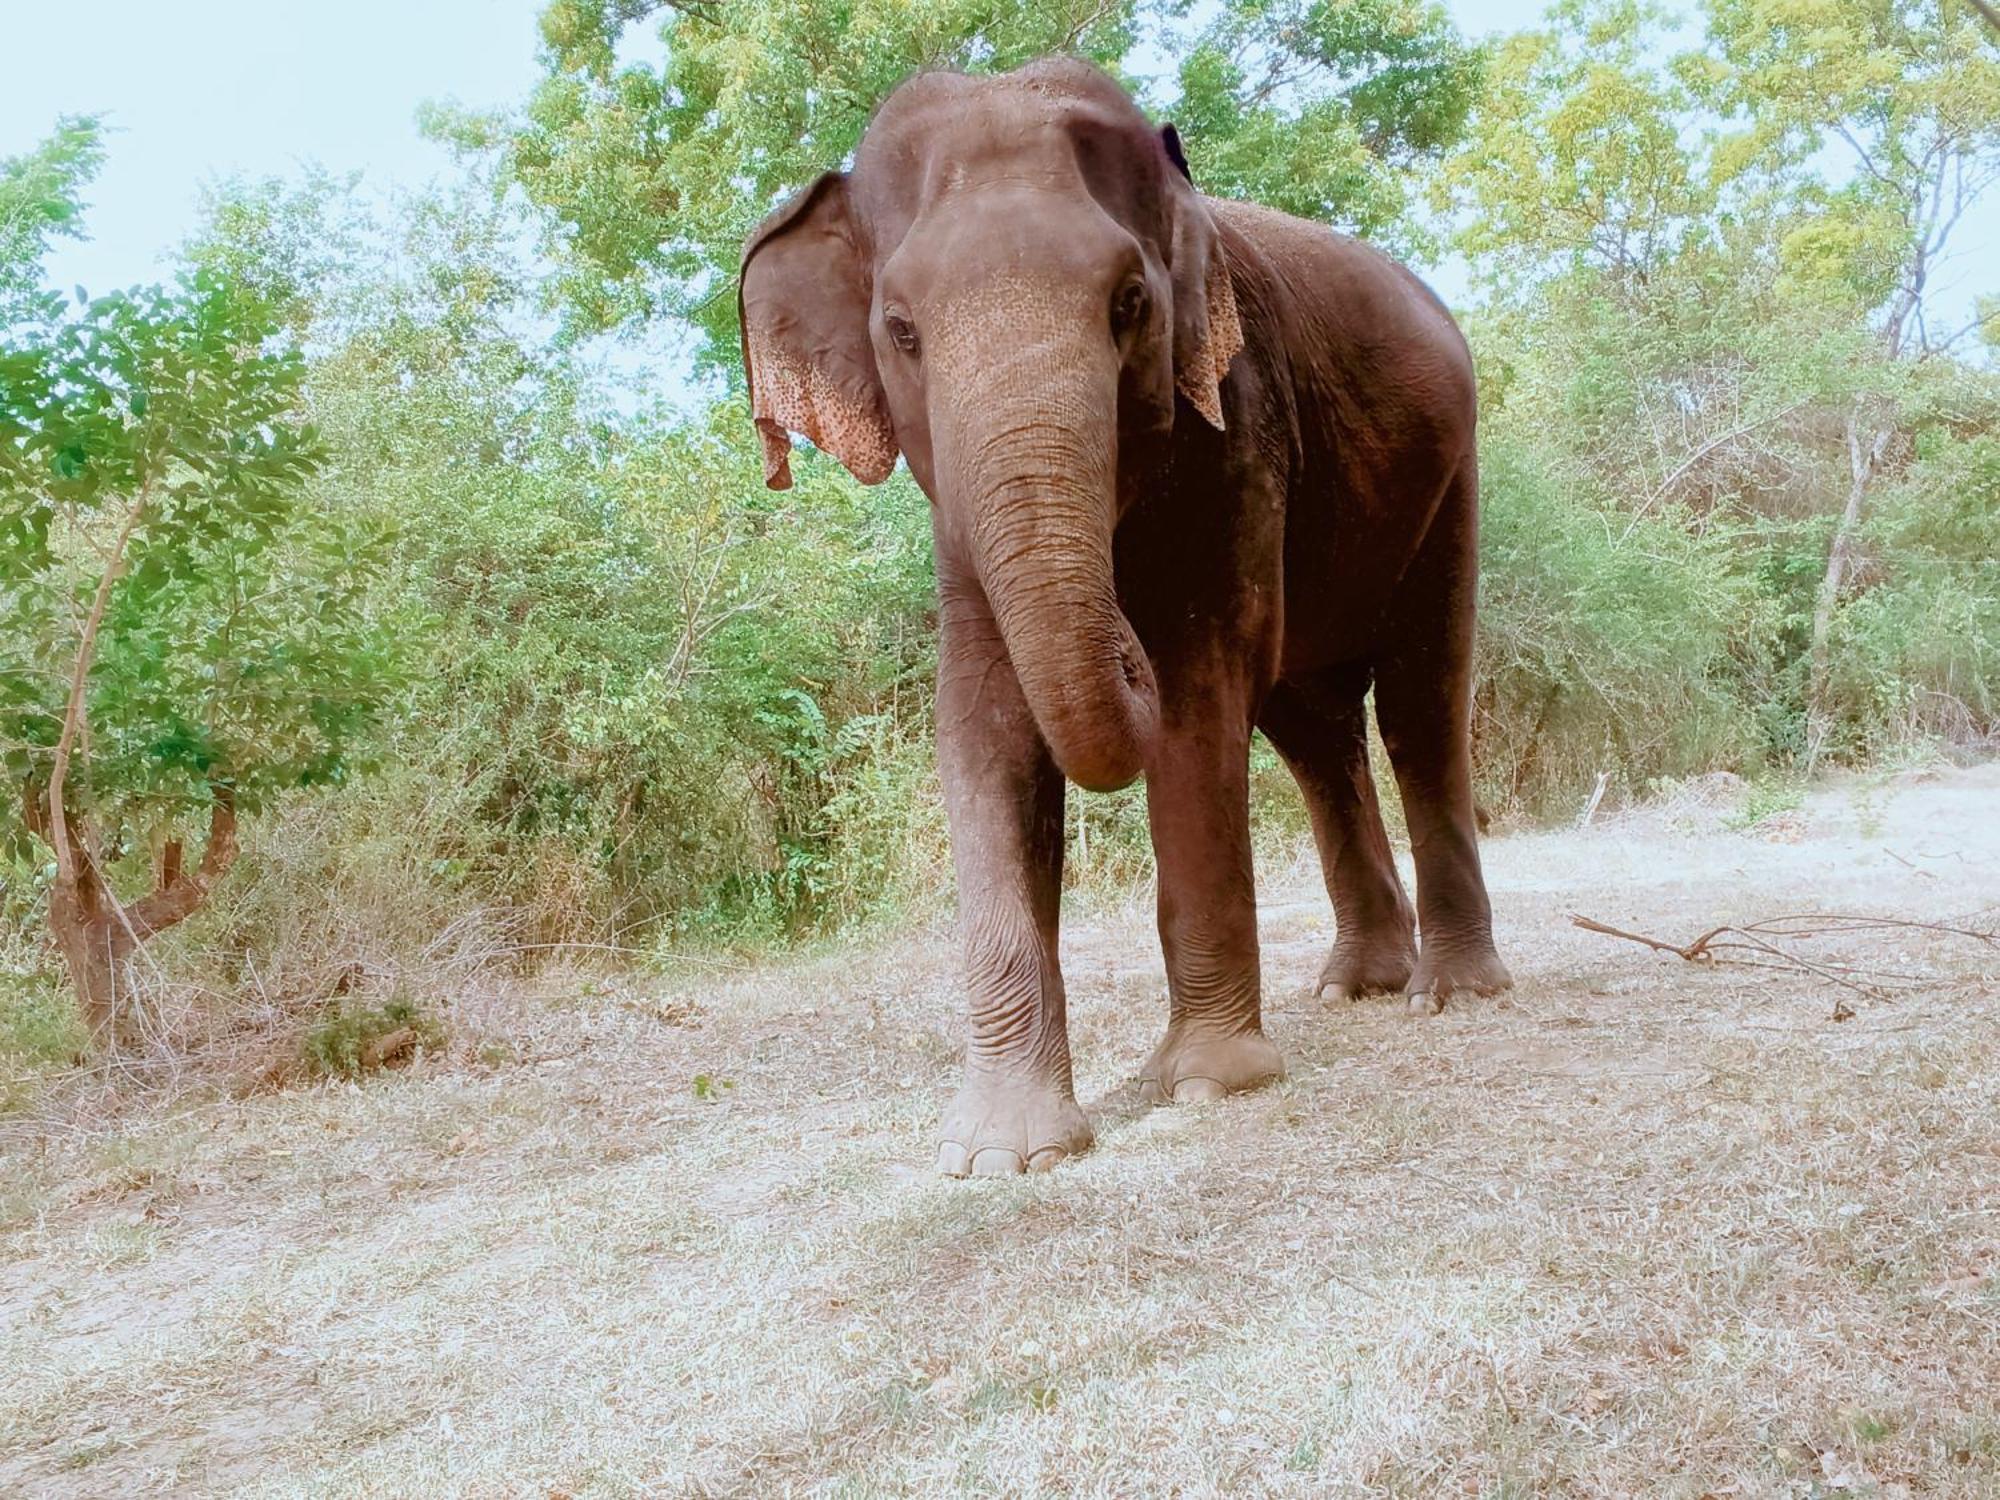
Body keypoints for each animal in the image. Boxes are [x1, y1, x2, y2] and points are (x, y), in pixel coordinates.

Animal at [744, 58, 1504, 1184]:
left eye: (1130, 303)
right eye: (901, 332)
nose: (1120, 643)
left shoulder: (1237, 420)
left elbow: (1198, 681)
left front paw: (1207, 1085)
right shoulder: (957, 516)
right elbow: (983, 725)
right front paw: (1000, 1155)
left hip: (1451, 474)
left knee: (1418, 698)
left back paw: (1448, 996)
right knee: (1314, 732)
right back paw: (1353, 985)